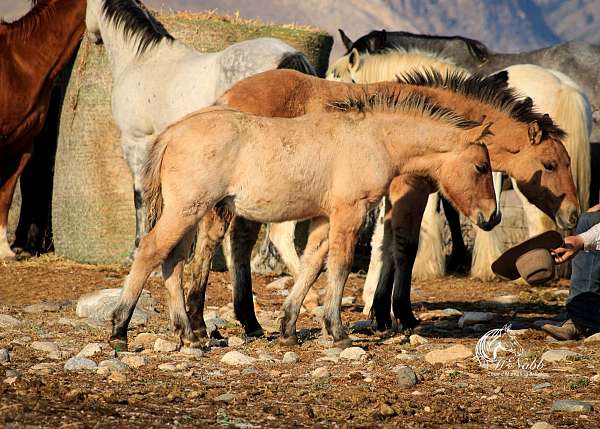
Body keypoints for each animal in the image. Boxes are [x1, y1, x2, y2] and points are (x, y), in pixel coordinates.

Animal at [86, 0, 316, 247]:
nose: (92, 38)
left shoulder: (136, 141)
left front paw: (139, 244)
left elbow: (141, 194)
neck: (143, 60)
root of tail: (288, 56)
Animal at [110, 94, 500, 348]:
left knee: (172, 261)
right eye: (481, 166)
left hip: (189, 213)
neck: (374, 139)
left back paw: (189, 334)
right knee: (150, 251)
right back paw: (119, 330)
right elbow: (340, 266)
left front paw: (288, 329)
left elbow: (312, 266)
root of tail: (172, 132)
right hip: (186, 209)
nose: (492, 216)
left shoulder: (324, 219)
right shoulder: (350, 212)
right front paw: (337, 332)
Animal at [182, 68, 576, 340]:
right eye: (549, 165)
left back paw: (250, 320)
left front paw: (379, 314)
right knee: (234, 240)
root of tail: (225, 98)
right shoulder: (409, 190)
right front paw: (400, 314)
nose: (572, 214)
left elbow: (384, 247)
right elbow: (404, 247)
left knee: (241, 241)